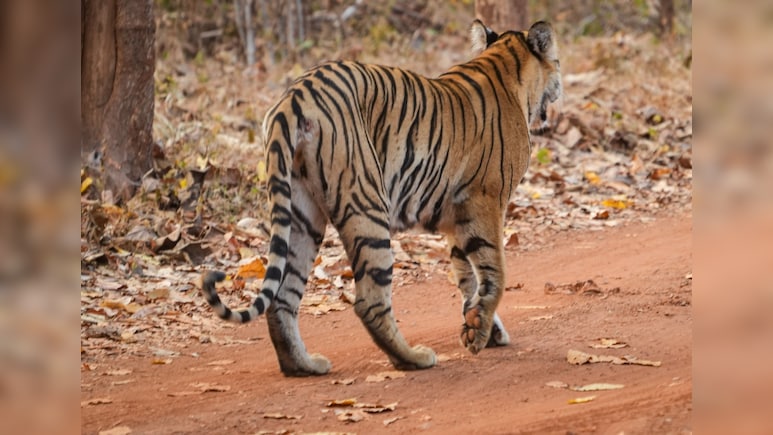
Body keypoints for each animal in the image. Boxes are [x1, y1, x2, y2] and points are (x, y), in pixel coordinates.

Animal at [201, 19, 562, 376]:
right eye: (556, 61)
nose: (560, 85)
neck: (506, 66)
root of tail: (296, 95)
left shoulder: (457, 218)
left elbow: (468, 276)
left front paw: (480, 328)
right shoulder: (485, 202)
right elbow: (494, 271)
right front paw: (480, 332)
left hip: (302, 214)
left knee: (282, 297)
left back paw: (303, 365)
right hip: (367, 205)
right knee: (369, 301)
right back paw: (413, 358)